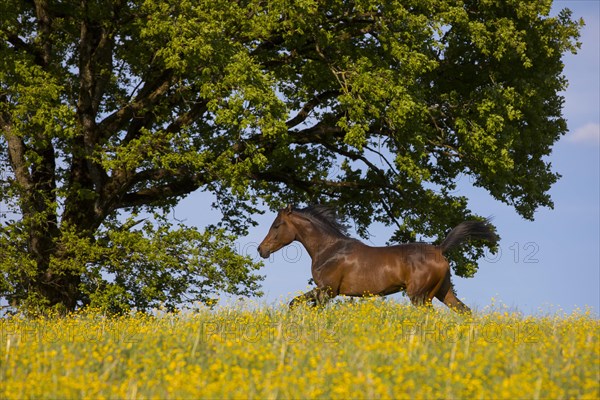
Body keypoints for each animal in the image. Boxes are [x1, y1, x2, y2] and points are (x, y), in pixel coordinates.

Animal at [258, 205, 496, 314]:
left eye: (277, 225)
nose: (261, 250)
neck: (329, 250)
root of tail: (439, 250)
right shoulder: (325, 292)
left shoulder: (327, 290)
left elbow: (296, 303)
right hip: (442, 291)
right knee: (465, 311)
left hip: (420, 295)